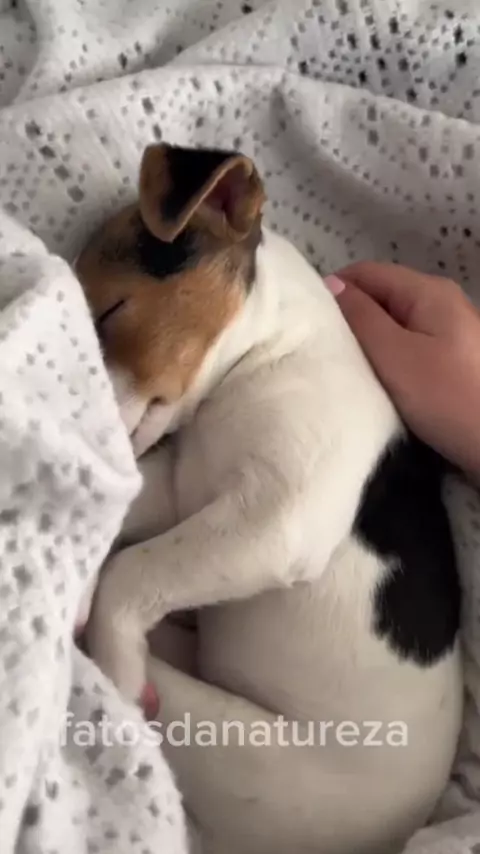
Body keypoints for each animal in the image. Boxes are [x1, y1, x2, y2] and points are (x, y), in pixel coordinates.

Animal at [75, 143, 463, 854]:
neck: (263, 357)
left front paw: (115, 674)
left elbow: (131, 571)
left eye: (112, 311)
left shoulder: (275, 523)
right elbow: (129, 526)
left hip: (230, 738)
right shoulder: (184, 494)